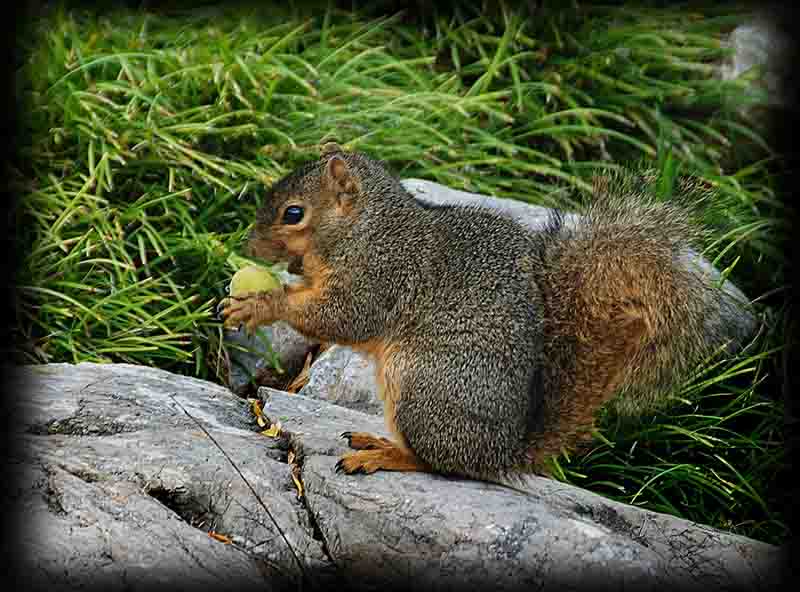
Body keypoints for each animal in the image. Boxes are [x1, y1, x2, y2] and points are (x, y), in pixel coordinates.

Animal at [220, 142, 752, 480]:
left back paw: (384, 456)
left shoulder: (382, 274)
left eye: (294, 213)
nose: (249, 246)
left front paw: (261, 303)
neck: (366, 227)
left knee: (442, 463)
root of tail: (503, 453)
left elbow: (344, 317)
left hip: (421, 389)